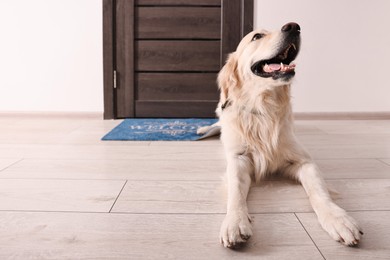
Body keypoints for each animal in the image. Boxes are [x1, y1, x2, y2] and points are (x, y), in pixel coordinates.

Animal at [200, 21, 364, 248]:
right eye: (257, 36)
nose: (293, 26)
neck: (264, 108)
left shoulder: (305, 161)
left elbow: (319, 191)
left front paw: (338, 219)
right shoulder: (238, 159)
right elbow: (236, 192)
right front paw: (235, 222)